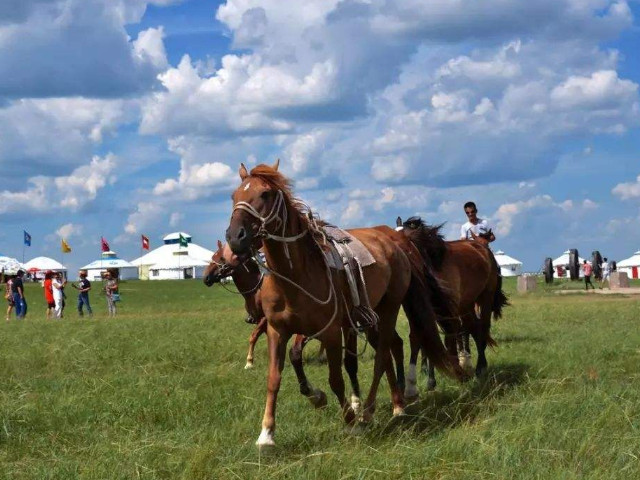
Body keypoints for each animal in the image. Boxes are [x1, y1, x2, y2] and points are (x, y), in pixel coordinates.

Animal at [225, 161, 460, 450]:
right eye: (234, 196)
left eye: (265, 194)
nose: (235, 237)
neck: (295, 276)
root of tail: (397, 243)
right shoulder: (277, 331)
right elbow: (274, 378)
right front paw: (267, 434)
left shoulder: (330, 332)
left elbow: (336, 379)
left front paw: (350, 422)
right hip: (371, 316)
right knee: (391, 348)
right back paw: (396, 405)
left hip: (389, 308)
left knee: (383, 355)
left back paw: (370, 410)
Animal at [398, 218, 508, 394]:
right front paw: (431, 380)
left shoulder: (449, 313)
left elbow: (448, 340)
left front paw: (456, 372)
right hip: (467, 305)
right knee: (473, 328)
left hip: (485, 298)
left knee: (482, 327)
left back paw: (480, 367)